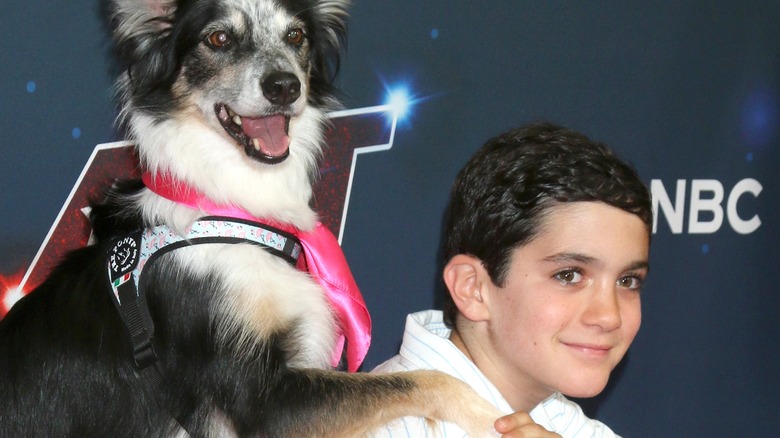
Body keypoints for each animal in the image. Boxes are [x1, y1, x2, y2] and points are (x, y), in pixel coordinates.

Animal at [0, 0, 500, 436]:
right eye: (218, 38)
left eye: (295, 36)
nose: (285, 86)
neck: (232, 214)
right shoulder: (261, 404)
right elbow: (422, 379)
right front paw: (490, 413)